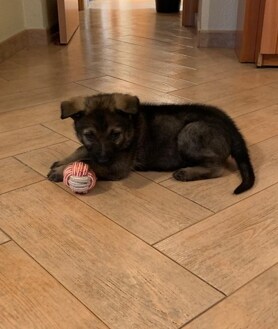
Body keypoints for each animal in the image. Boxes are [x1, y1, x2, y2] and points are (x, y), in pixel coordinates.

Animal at [47, 92, 254, 193]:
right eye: (89, 135)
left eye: (115, 135)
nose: (104, 159)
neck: (130, 128)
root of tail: (230, 125)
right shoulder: (96, 151)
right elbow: (82, 149)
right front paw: (62, 162)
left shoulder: (117, 166)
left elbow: (88, 161)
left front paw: (60, 171)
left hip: (190, 131)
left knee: (217, 167)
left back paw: (187, 172)